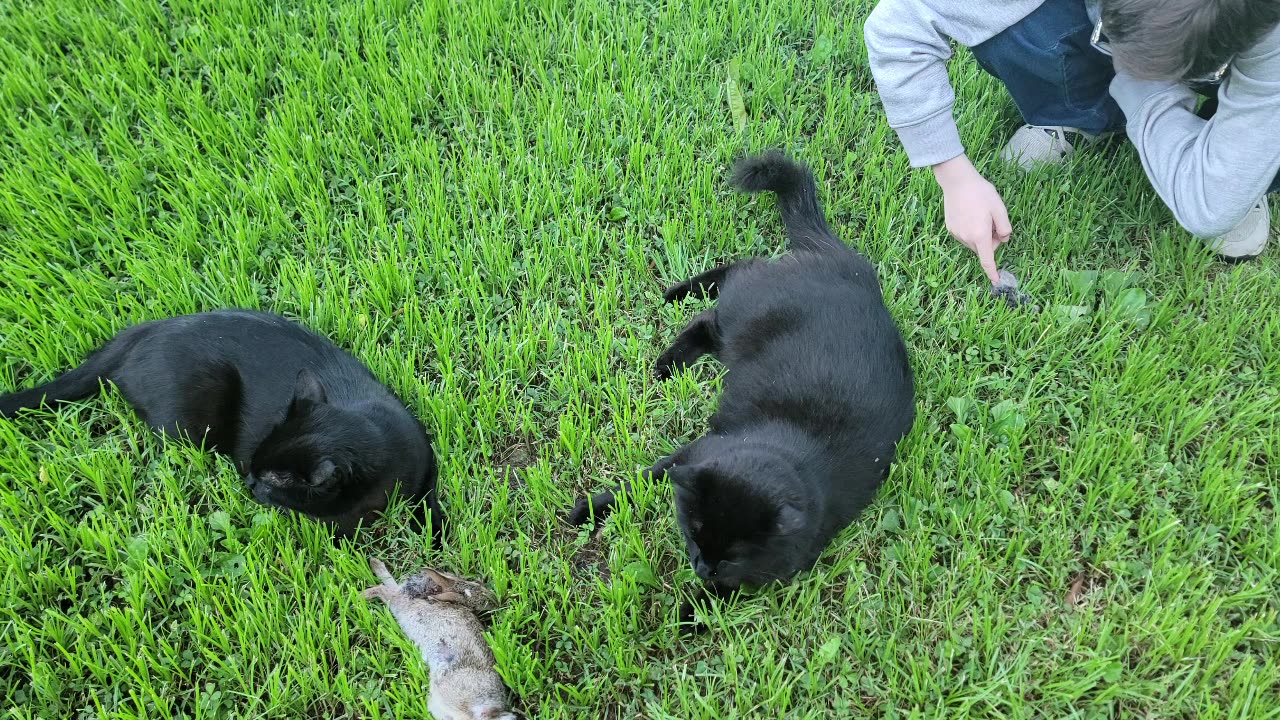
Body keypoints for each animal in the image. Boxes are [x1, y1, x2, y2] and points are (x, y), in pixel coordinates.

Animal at [0, 308, 442, 538]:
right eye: (255, 466)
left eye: (273, 480)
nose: (247, 482)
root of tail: (142, 332)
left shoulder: (425, 461)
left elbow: (431, 504)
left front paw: (434, 538)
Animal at [568, 151, 911, 627]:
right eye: (694, 534)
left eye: (731, 557)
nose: (701, 565)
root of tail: (844, 261)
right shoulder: (694, 452)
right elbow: (641, 479)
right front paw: (588, 510)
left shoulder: (768, 568)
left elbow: (713, 600)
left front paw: (677, 619)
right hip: (744, 312)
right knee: (730, 284)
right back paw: (672, 328)